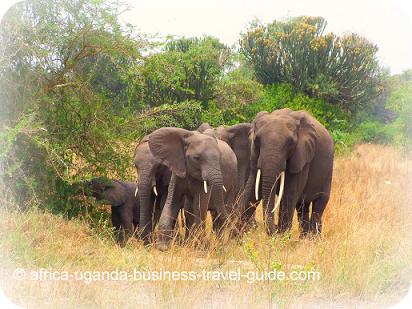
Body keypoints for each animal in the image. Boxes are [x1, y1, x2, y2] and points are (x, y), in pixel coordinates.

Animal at [243, 108, 334, 236]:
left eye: (290, 143)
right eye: (257, 141)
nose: (276, 227)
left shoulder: (302, 157)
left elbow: (288, 195)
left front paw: (281, 236)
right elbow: (251, 191)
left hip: (328, 170)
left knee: (319, 205)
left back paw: (313, 238)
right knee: (302, 206)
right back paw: (305, 238)